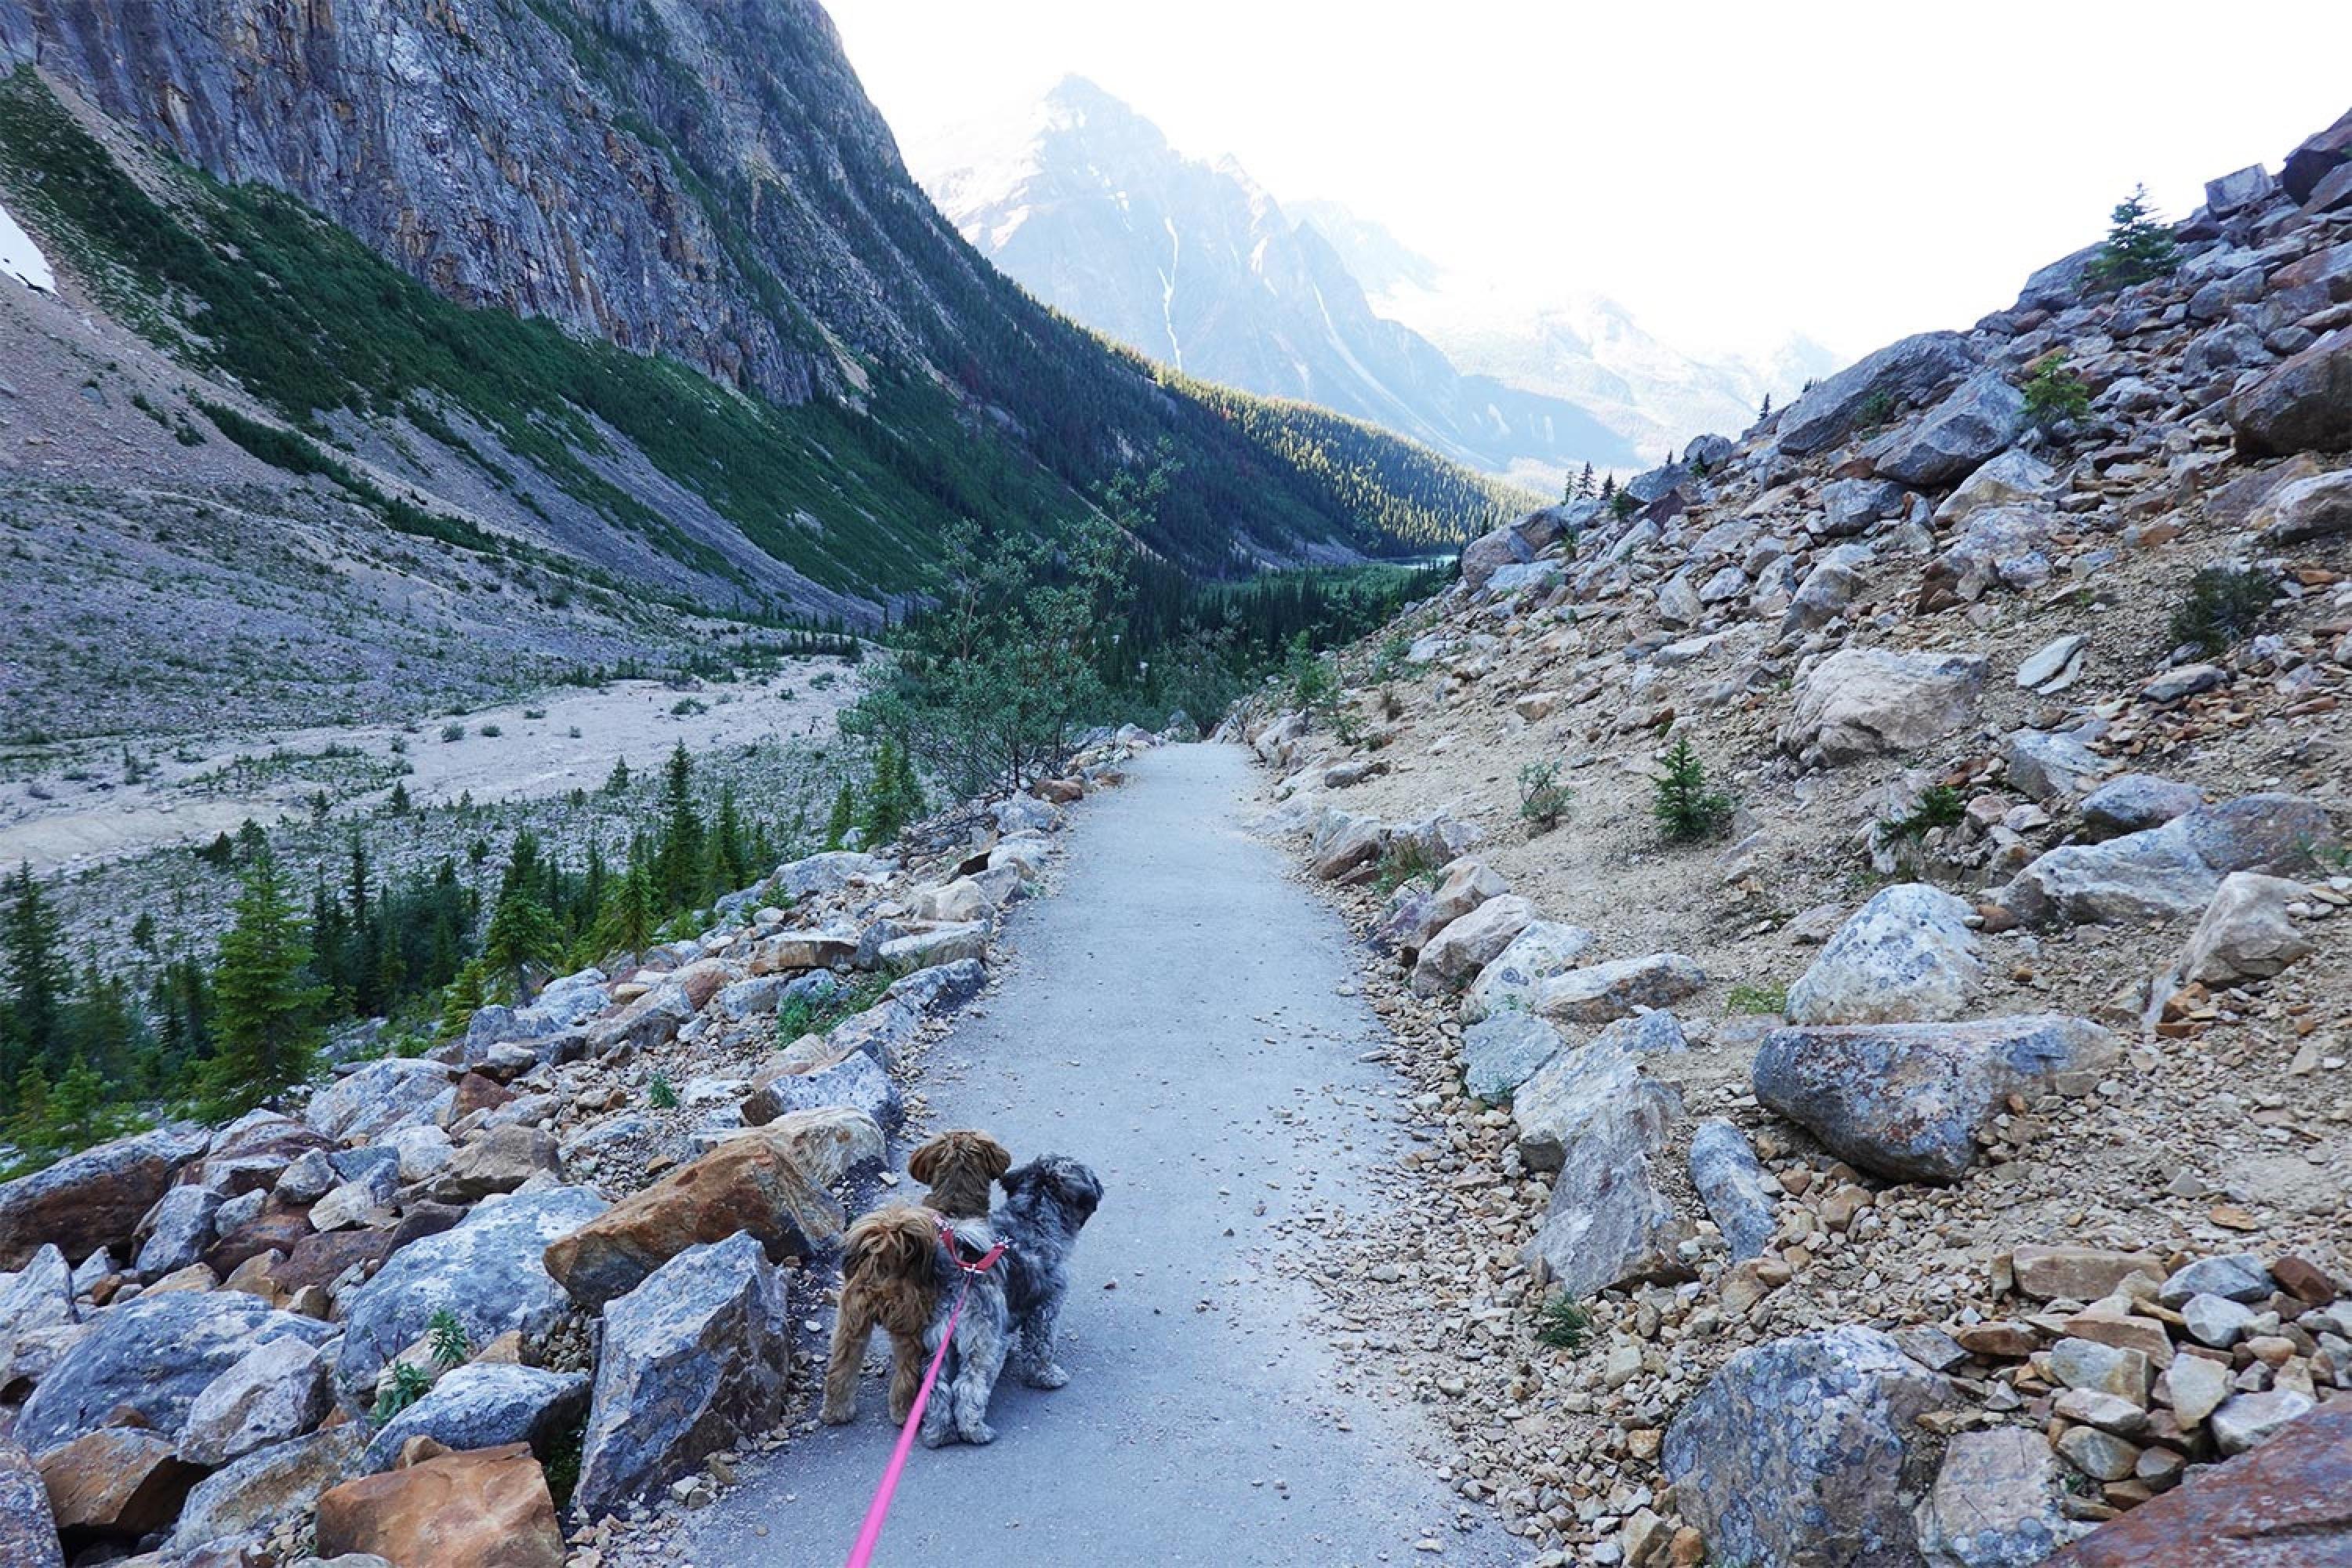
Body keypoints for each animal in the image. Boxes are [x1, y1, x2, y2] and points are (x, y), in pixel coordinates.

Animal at [818, 1133, 1011, 1429]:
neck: (955, 1207)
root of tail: (886, 1258)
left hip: (851, 1323)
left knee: (840, 1367)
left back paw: (836, 1412)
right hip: (911, 1327)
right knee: (906, 1377)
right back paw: (905, 1412)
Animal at [917, 1152, 1101, 1448]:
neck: (1035, 1219)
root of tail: (960, 1274)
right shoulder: (1046, 1308)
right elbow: (1041, 1347)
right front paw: (1046, 1376)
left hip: (938, 1345)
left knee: (937, 1388)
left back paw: (938, 1433)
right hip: (985, 1343)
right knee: (969, 1386)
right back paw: (976, 1431)